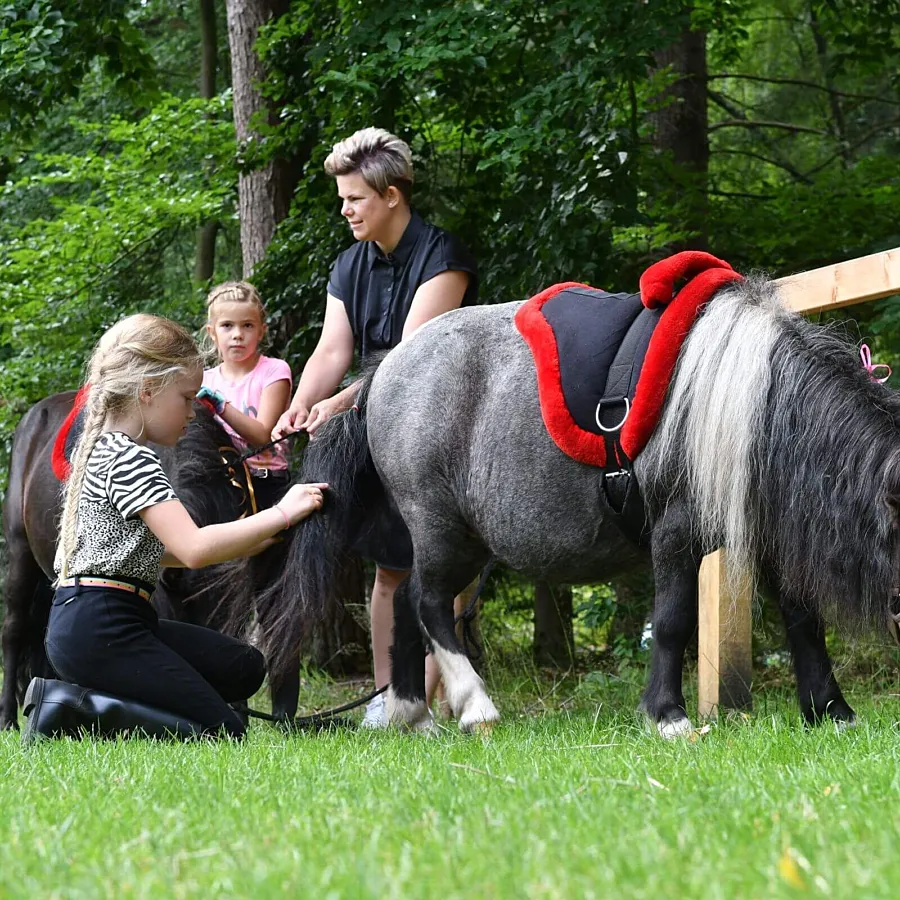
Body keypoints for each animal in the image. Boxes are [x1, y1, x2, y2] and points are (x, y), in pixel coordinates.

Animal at [258, 276, 900, 740]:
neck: (739, 399)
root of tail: (381, 374)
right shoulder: (677, 534)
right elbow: (673, 621)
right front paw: (668, 716)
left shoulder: (760, 532)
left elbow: (803, 619)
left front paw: (831, 710)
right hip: (440, 526)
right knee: (427, 603)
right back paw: (475, 706)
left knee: (403, 608)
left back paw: (413, 713)